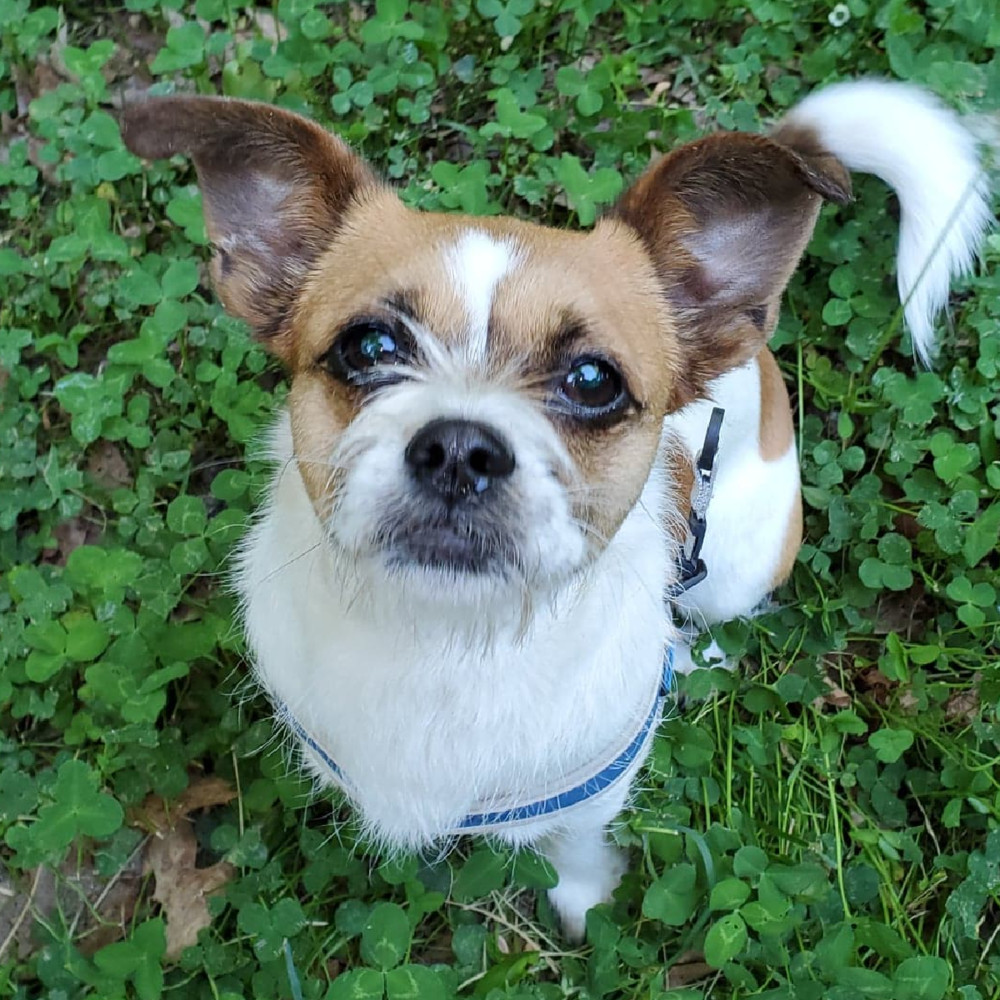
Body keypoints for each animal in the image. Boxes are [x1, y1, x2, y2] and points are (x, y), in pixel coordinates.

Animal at [121, 76, 988, 936]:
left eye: (594, 380)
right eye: (367, 346)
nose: (459, 450)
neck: (448, 639)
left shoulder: (588, 790)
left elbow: (572, 846)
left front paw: (582, 901)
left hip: (740, 564)